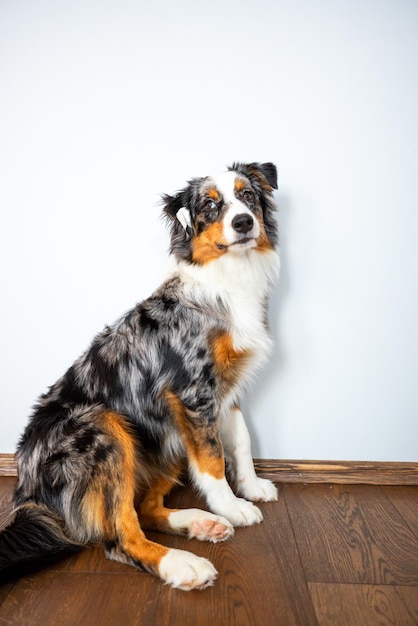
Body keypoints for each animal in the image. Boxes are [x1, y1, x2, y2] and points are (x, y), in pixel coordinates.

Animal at [1, 158, 280, 588]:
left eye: (247, 195)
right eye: (210, 206)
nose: (244, 223)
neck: (227, 280)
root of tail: (26, 489)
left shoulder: (225, 392)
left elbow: (241, 443)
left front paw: (250, 488)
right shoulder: (194, 391)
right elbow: (213, 459)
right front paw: (232, 507)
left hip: (163, 435)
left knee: (144, 508)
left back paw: (200, 523)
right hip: (104, 428)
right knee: (120, 537)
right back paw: (183, 564)